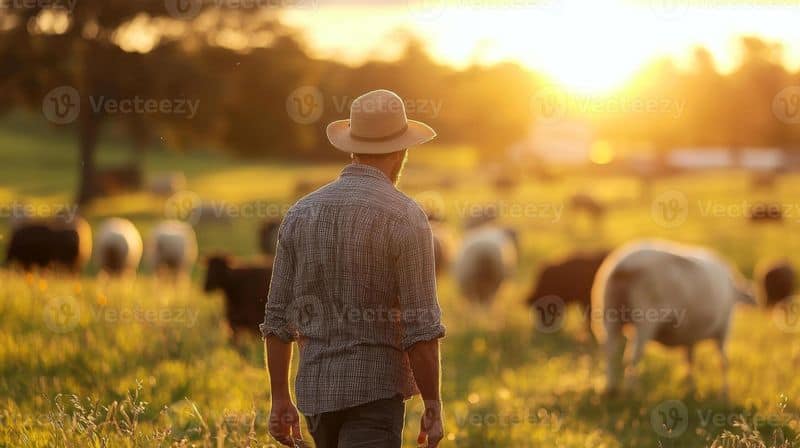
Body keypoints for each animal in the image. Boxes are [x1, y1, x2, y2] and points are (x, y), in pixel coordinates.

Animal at [592, 242, 756, 396]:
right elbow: (723, 362)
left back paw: (611, 389)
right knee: (633, 356)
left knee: (610, 350)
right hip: (645, 318)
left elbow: (689, 361)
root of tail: (624, 265)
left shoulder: (690, 336)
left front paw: (691, 390)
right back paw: (632, 391)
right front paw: (724, 394)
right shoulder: (723, 328)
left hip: (610, 313)